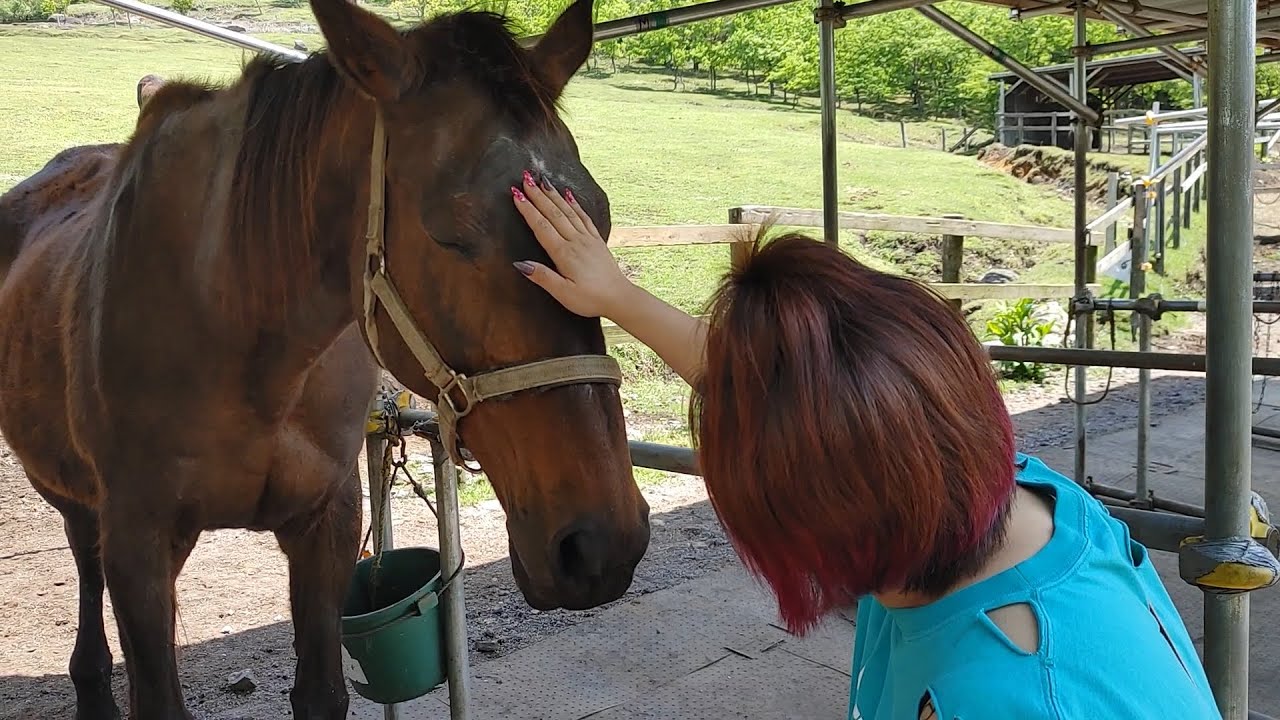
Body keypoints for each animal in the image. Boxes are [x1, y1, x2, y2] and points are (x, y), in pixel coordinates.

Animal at [0, 0, 651, 717]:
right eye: (450, 235)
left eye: (600, 215)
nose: (601, 543)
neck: (242, 339)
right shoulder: (138, 544)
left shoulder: (327, 523)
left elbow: (320, 692)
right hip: (73, 499)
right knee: (84, 561)